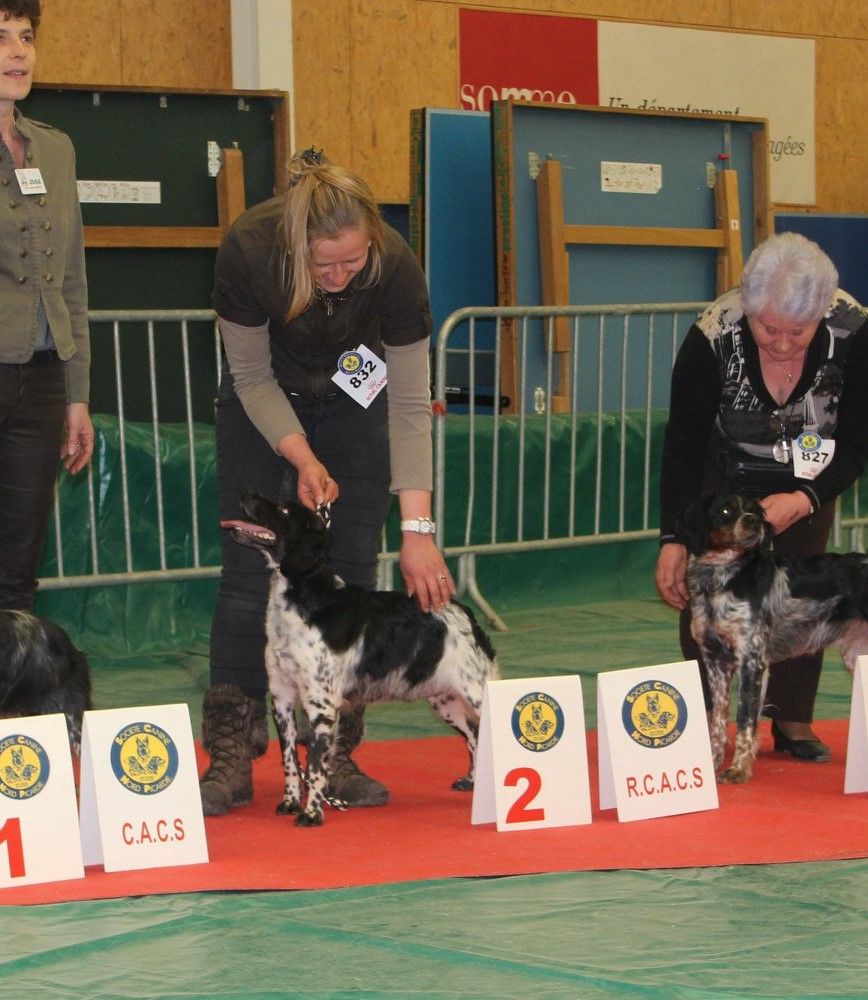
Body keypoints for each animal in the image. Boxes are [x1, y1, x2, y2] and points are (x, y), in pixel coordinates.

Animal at [222, 490, 499, 826]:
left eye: (285, 510)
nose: (245, 493)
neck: (306, 600)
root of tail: (465, 612)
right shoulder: (282, 696)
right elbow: (289, 759)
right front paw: (290, 802)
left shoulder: (321, 704)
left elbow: (315, 765)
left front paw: (312, 813)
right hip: (444, 699)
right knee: (475, 737)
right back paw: (473, 782)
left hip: (476, 692)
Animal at [677, 493, 868, 783]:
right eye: (725, 510)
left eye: (753, 511)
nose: (753, 522)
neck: (721, 578)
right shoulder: (714, 662)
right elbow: (718, 722)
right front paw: (713, 763)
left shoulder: (751, 660)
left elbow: (745, 720)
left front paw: (738, 770)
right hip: (855, 654)